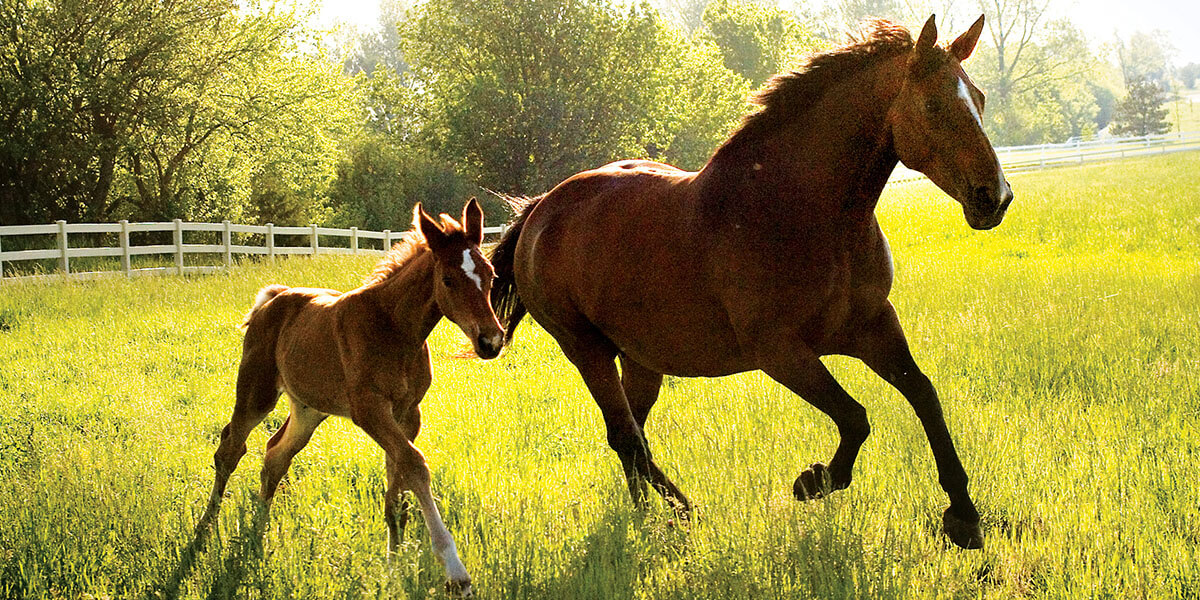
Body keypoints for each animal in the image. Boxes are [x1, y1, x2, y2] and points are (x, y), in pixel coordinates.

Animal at [195, 199, 501, 592]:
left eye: (491, 275)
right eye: (448, 279)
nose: (491, 341)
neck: (394, 330)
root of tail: (272, 299)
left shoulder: (407, 413)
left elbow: (397, 484)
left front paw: (393, 566)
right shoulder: (369, 409)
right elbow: (415, 464)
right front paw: (454, 570)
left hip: (308, 409)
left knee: (276, 455)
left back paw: (257, 532)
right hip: (256, 391)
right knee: (230, 449)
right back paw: (205, 529)